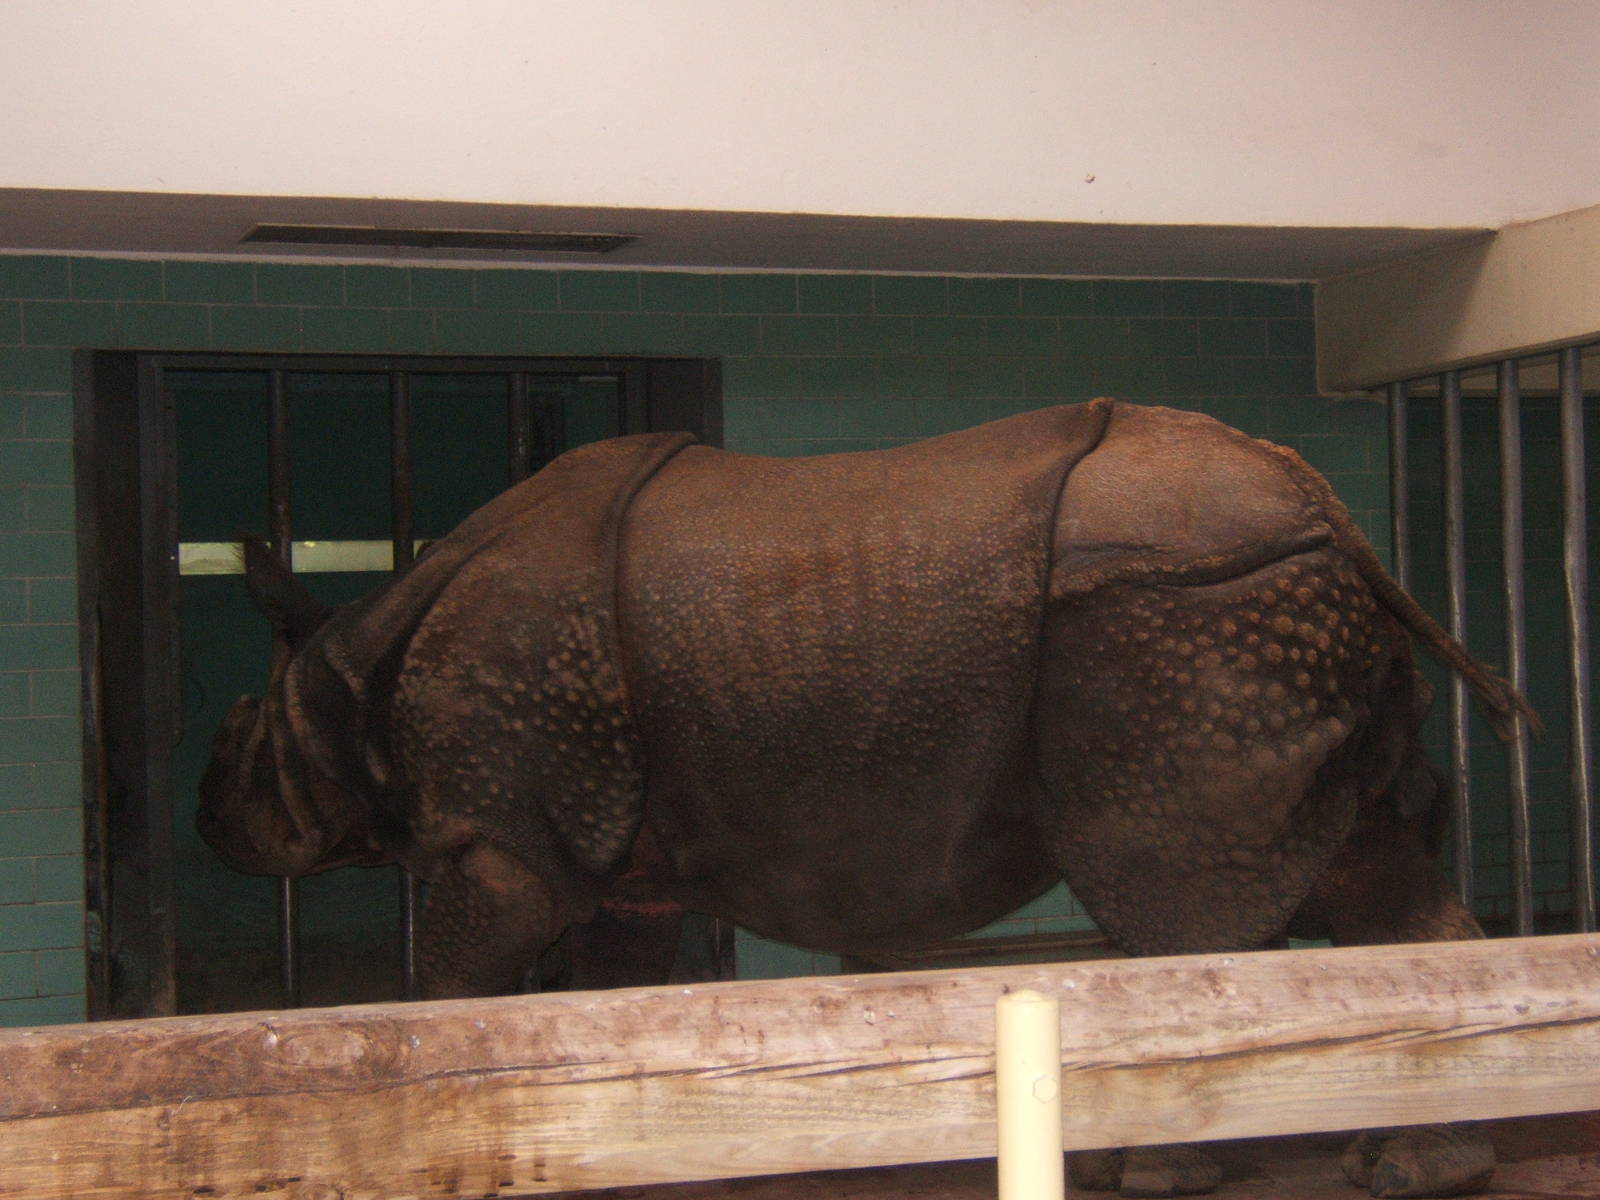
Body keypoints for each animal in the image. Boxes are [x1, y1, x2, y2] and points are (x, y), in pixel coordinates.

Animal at [200, 397, 1528, 1198]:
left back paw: (1150, 1173)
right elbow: (607, 1001)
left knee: (1176, 904)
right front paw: (618, 1151)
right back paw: (1424, 1166)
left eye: (238, 745)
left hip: (1182, 610)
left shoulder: (505, 838)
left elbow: (455, 990)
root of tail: (1339, 520)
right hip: (1266, 603)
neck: (347, 675)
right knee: (1370, 868)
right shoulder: (619, 866)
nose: (210, 819)